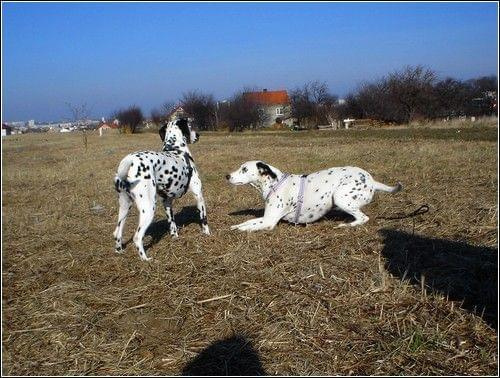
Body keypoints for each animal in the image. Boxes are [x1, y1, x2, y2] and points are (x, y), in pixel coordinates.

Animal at [113, 118, 209, 260]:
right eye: (190, 125)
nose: (198, 135)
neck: (176, 149)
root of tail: (130, 160)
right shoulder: (199, 196)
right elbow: (204, 220)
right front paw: (207, 235)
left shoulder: (167, 202)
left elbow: (172, 224)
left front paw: (175, 238)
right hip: (148, 208)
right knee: (137, 237)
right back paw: (146, 259)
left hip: (125, 206)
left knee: (117, 233)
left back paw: (119, 251)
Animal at [227, 159, 402, 230]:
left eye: (244, 169)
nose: (227, 176)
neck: (275, 183)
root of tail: (372, 181)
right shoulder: (266, 218)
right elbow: (248, 222)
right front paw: (236, 225)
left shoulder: (269, 222)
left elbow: (248, 228)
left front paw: (240, 230)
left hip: (340, 197)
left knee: (363, 218)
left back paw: (346, 225)